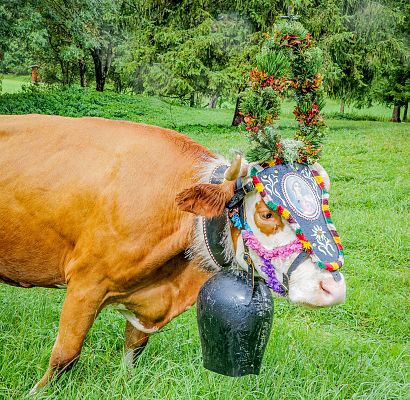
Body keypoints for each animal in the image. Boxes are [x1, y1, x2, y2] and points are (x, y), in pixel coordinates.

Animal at [0, 114, 346, 392]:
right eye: (267, 213)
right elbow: (65, 354)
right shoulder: (87, 283)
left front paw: (124, 383)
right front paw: (34, 393)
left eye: (325, 203)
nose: (333, 288)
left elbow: (134, 348)